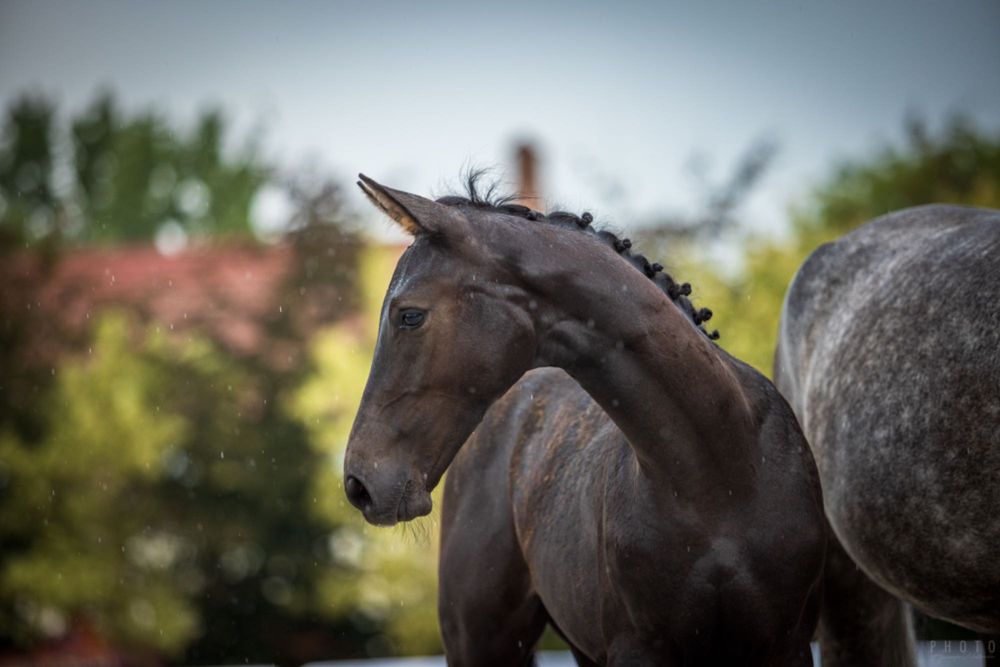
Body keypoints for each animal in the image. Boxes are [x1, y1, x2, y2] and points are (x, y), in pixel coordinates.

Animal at [344, 175, 828, 664]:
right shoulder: (637, 650)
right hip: (481, 641)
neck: (722, 474)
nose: (358, 484)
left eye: (409, 316)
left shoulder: (787, 645)